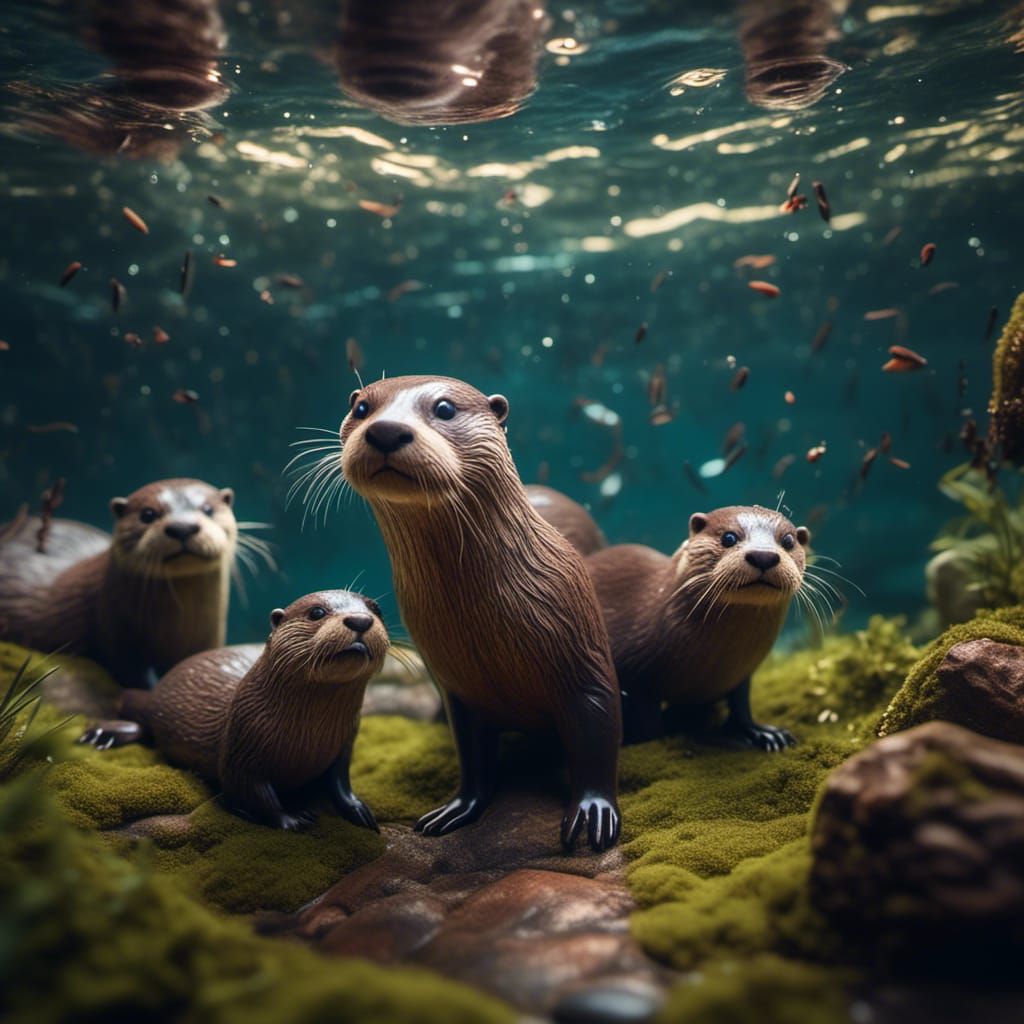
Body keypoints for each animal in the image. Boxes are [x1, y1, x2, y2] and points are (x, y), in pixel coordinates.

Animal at [0, 479, 237, 688]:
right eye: (148, 514)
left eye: (208, 509)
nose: (182, 527)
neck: (176, 627)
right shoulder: (116, 634)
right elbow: (128, 674)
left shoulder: (208, 638)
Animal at [80, 590, 386, 831]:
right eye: (317, 612)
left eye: (375, 608)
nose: (360, 620)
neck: (307, 738)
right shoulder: (240, 747)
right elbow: (252, 792)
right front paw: (290, 818)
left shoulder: (344, 743)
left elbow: (340, 781)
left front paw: (358, 809)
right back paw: (101, 734)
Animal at [339, 375, 621, 851]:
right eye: (362, 409)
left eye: (445, 408)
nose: (386, 430)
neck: (484, 625)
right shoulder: (458, 687)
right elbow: (472, 756)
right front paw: (455, 808)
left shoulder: (585, 659)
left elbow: (598, 736)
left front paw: (593, 811)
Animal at [528, 491, 809, 748]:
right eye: (728, 537)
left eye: (787, 541)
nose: (763, 555)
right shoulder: (637, 672)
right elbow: (650, 726)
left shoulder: (742, 672)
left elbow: (741, 704)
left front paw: (763, 732)